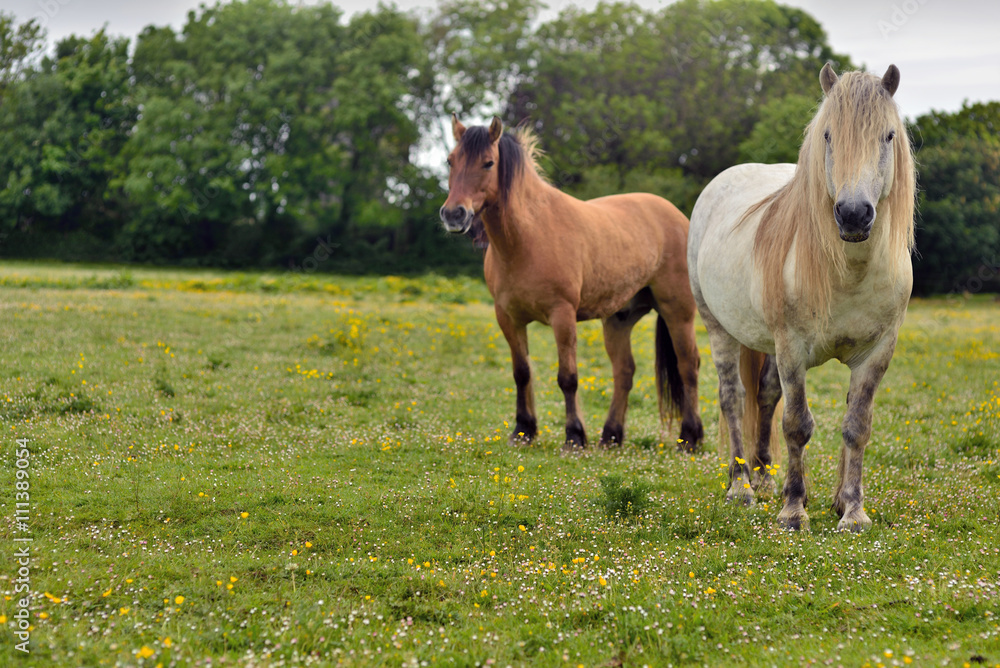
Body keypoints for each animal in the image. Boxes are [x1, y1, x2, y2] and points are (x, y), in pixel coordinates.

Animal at [440, 115, 703, 451]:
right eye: (451, 160)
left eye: (488, 163)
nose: (453, 214)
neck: (528, 236)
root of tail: (678, 216)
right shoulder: (508, 318)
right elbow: (521, 372)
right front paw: (523, 430)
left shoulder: (562, 315)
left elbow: (568, 377)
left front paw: (574, 436)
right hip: (619, 319)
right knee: (624, 371)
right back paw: (611, 435)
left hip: (678, 313)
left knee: (688, 366)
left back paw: (690, 437)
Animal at [688, 63, 915, 532]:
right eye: (828, 135)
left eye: (887, 136)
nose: (853, 214)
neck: (850, 272)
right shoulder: (792, 348)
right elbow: (797, 424)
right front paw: (794, 511)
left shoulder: (877, 352)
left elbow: (856, 425)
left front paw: (850, 509)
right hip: (720, 329)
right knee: (732, 398)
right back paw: (742, 487)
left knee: (764, 397)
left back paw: (764, 478)